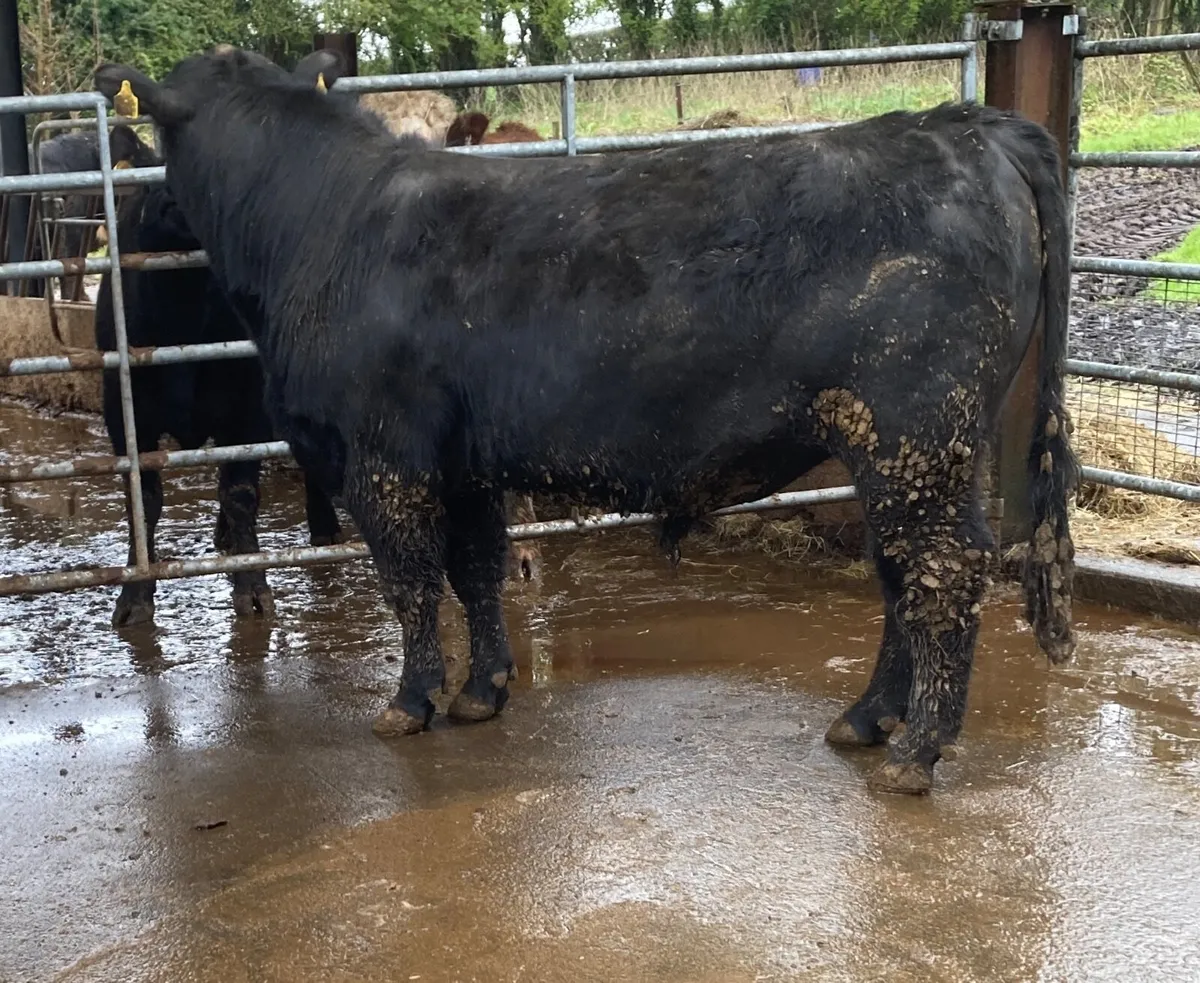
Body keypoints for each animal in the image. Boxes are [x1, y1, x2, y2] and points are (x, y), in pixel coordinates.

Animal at [95, 48, 1078, 794]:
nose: (147, 210)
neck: (317, 224)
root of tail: (968, 126)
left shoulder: (384, 454)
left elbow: (411, 582)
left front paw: (410, 701)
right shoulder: (463, 461)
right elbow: (476, 570)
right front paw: (483, 690)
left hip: (916, 435)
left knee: (944, 572)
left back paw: (918, 749)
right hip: (917, 447)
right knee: (903, 571)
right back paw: (869, 718)